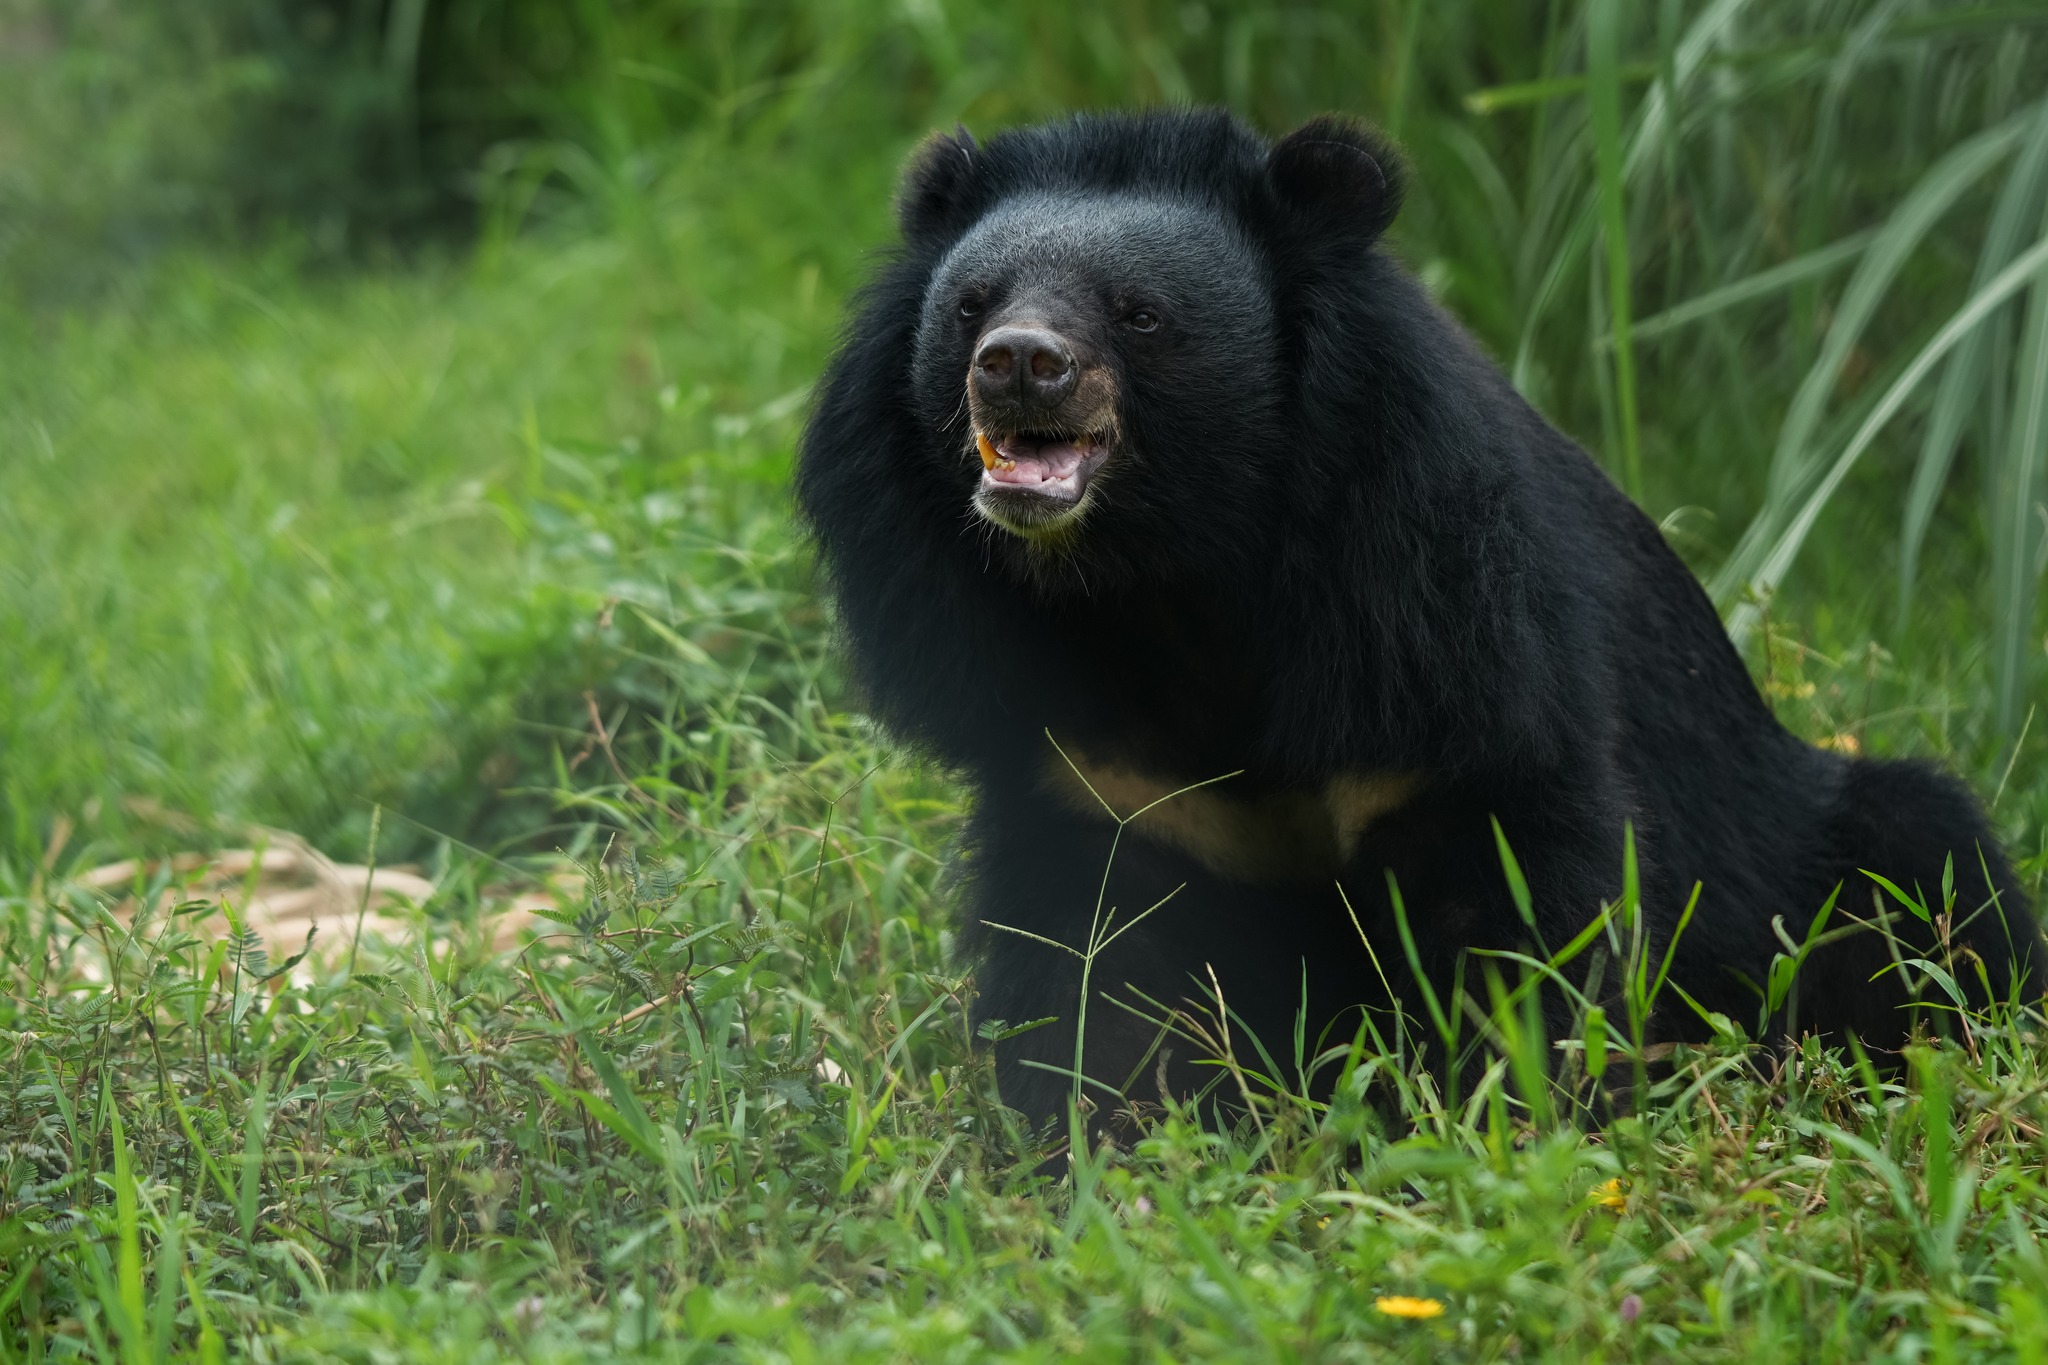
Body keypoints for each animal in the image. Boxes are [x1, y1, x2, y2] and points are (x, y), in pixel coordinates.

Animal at [790, 109, 2039, 1129]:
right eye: (968, 307)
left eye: (1138, 315)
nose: (1016, 365)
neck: (1169, 577)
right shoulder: (1099, 773)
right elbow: (1098, 962)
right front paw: (1098, 1139)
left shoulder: (1434, 622)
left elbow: (1517, 913)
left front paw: (1493, 1122)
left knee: (1923, 871)